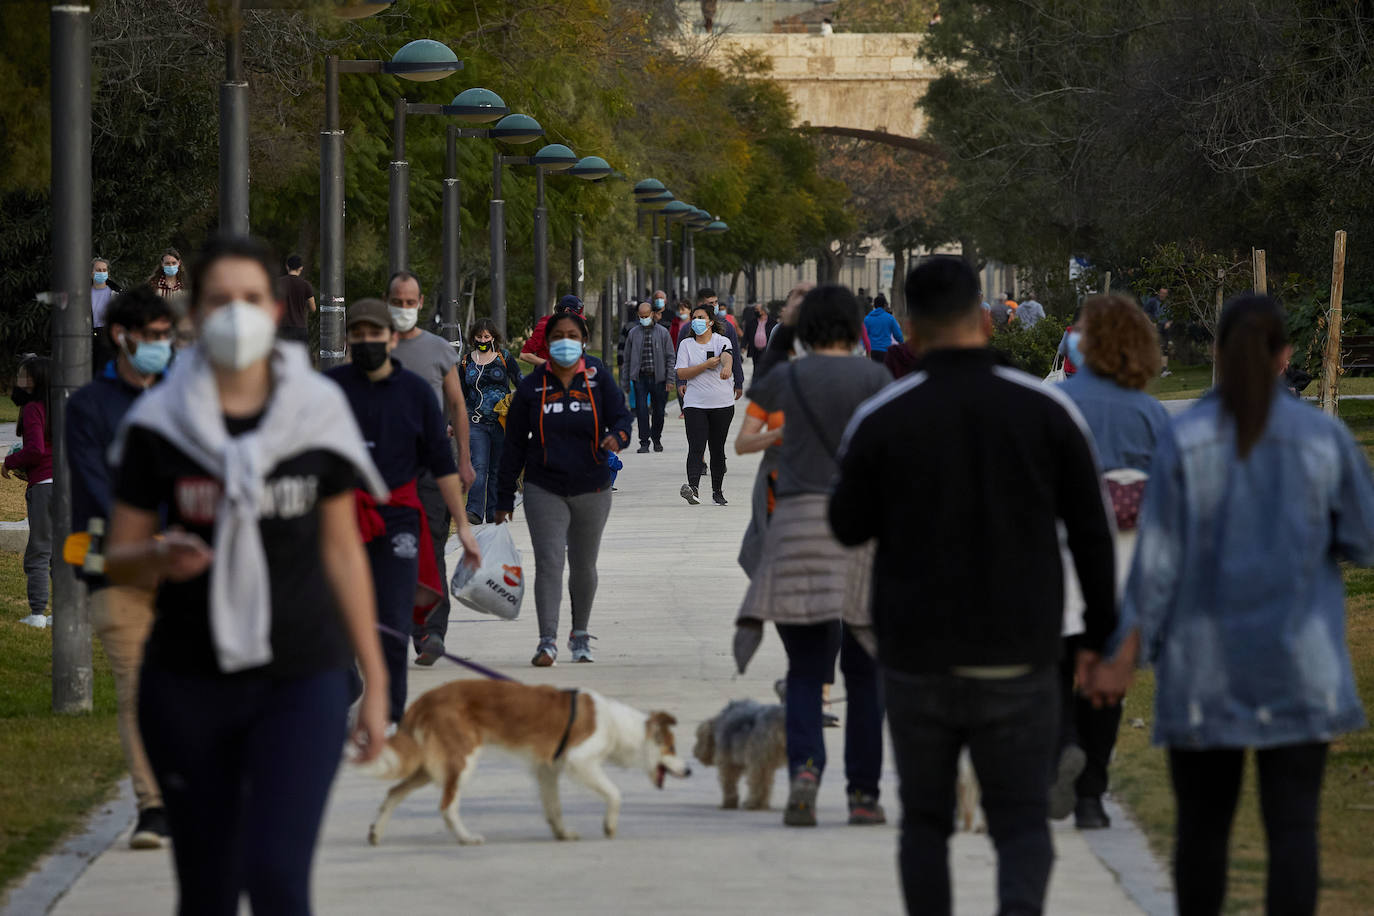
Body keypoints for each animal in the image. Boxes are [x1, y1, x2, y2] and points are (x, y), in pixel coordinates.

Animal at [362, 678, 692, 851]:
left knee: (394, 792)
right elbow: (615, 793)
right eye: (672, 748)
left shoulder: (548, 770)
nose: (689, 770)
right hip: (461, 761)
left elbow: (554, 808)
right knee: (447, 806)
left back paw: (376, 832)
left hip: (429, 767)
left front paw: (562, 834)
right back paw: (466, 837)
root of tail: (425, 698)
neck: (617, 725)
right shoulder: (579, 762)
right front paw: (609, 826)